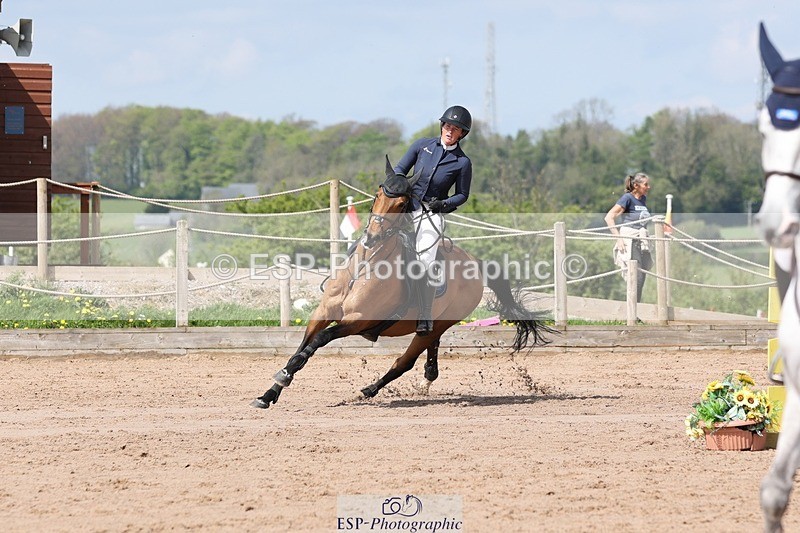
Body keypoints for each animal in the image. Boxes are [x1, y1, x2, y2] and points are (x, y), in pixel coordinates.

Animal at [251, 156, 552, 409]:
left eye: (401, 204)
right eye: (377, 195)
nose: (371, 238)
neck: (365, 267)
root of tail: (476, 263)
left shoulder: (357, 321)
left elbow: (319, 341)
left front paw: (283, 377)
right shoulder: (322, 312)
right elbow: (302, 346)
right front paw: (271, 391)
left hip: (439, 324)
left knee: (405, 361)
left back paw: (370, 390)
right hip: (434, 325)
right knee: (429, 359)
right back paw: (418, 379)